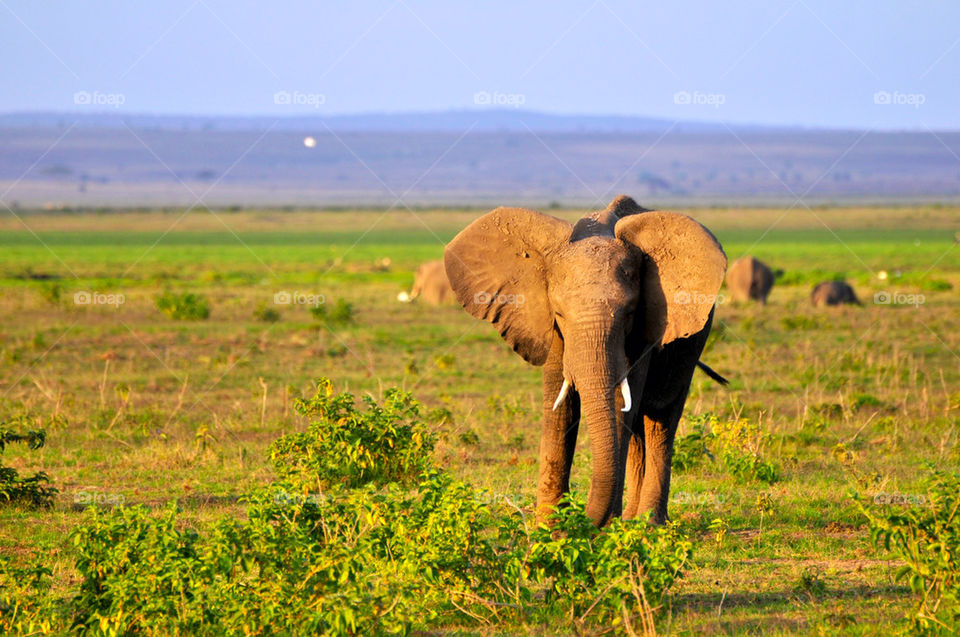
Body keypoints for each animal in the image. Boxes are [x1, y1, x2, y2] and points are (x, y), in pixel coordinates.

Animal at [444, 195, 727, 526]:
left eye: (629, 313)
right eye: (560, 313)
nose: (581, 518)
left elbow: (622, 402)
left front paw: (601, 527)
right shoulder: (552, 330)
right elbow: (560, 406)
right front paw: (549, 527)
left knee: (661, 420)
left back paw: (648, 523)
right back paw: (632, 519)